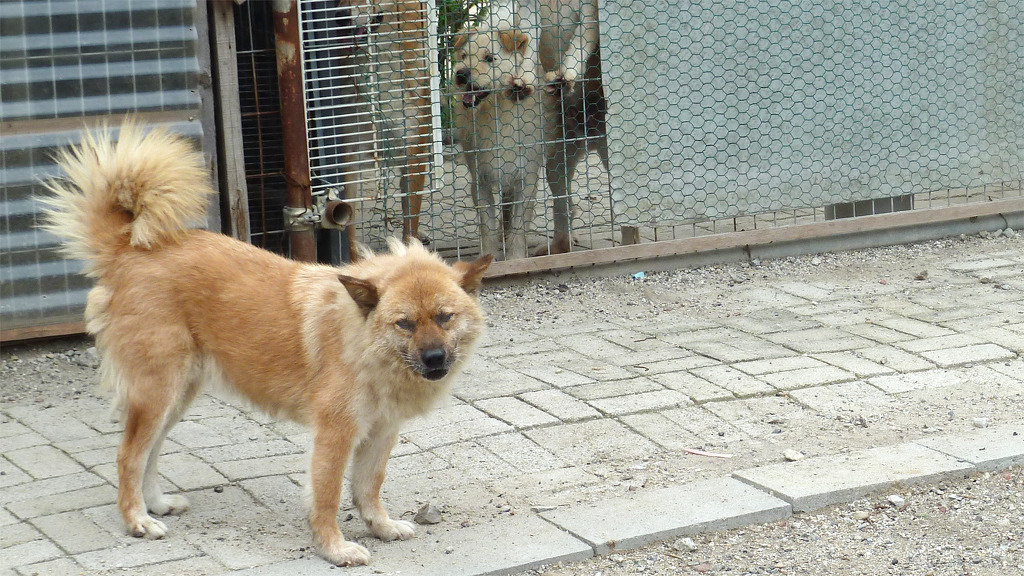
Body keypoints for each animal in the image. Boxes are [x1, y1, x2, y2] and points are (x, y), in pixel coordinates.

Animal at [38, 121, 493, 567]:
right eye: (405, 323)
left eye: (444, 317)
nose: (434, 358)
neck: (363, 343)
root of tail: (127, 251)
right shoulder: (335, 434)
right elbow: (328, 496)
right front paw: (333, 548)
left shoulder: (380, 432)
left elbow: (368, 487)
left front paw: (380, 526)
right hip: (156, 393)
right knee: (128, 456)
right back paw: (136, 520)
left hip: (175, 396)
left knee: (148, 453)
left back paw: (156, 505)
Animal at [451, 4, 545, 260]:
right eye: (463, 56)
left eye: (489, 58)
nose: (460, 74)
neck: (495, 113)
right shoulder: (480, 178)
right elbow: (487, 226)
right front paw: (490, 259)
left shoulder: (526, 178)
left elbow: (519, 225)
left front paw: (516, 259)